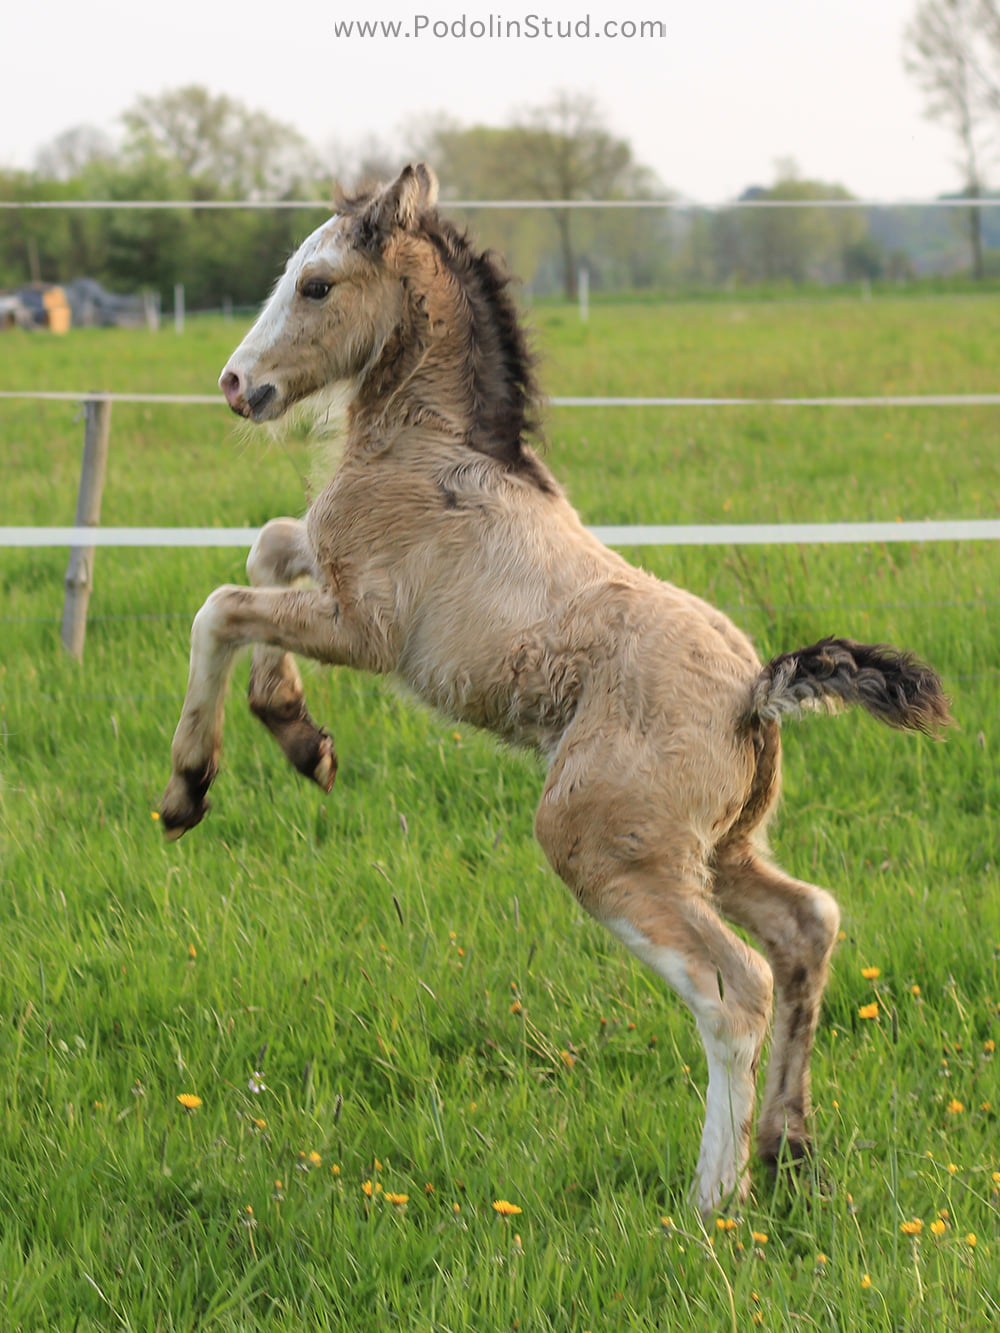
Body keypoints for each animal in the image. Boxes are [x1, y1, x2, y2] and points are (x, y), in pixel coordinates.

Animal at [160, 161, 949, 1215]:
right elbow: (269, 545)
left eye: (317, 284)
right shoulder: (327, 577)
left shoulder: (366, 630)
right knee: (806, 927)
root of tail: (756, 691)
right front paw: (299, 735)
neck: (433, 452)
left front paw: (189, 789)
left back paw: (713, 1199)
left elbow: (221, 605)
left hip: (600, 844)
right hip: (714, 848)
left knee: (736, 987)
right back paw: (786, 1146)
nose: (237, 385)